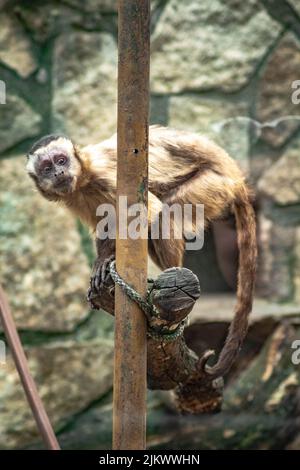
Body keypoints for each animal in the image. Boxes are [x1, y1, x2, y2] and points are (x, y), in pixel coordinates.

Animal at [25, 125, 256, 378]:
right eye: (47, 168)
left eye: (61, 160)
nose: (59, 172)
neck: (84, 179)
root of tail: (235, 175)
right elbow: (105, 223)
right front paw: (102, 261)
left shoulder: (106, 174)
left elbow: (149, 213)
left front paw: (108, 259)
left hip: (215, 185)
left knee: (166, 212)